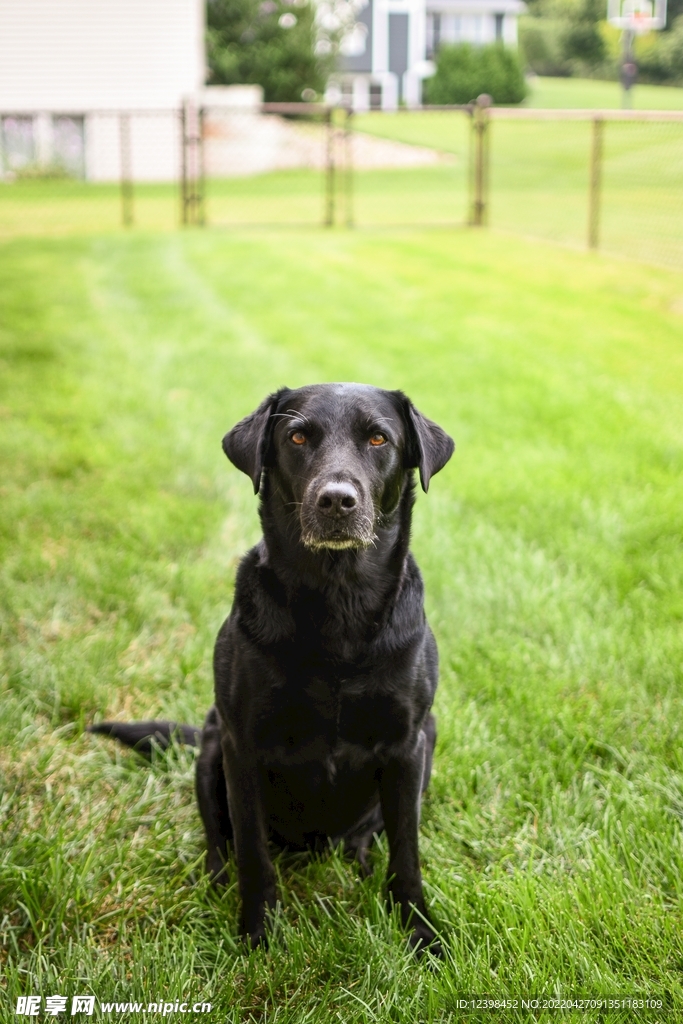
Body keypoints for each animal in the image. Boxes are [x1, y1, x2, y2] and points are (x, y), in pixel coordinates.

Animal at [90, 382, 454, 950]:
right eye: (297, 436)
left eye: (379, 438)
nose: (337, 500)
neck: (338, 604)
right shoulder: (242, 745)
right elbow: (253, 852)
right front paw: (258, 934)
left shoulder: (407, 743)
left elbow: (407, 853)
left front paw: (419, 932)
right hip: (211, 743)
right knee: (220, 840)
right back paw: (214, 883)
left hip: (429, 738)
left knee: (371, 832)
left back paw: (359, 858)